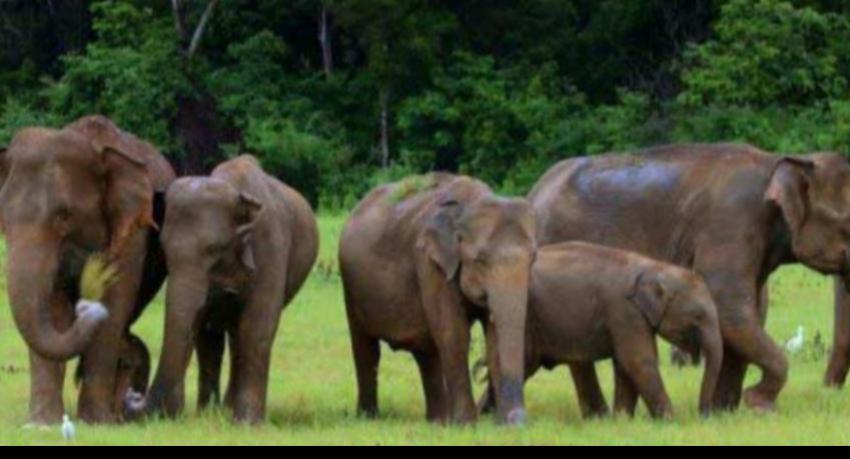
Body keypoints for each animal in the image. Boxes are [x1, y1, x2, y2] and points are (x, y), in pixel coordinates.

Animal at [0, 115, 175, 424]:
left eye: (64, 216)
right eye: (3, 218)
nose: (84, 306)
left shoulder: (133, 231)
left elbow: (115, 304)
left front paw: (95, 422)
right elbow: (53, 307)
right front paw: (41, 424)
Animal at [124, 155, 319, 424]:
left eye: (215, 249)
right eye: (163, 250)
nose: (133, 396)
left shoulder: (271, 252)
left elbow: (257, 328)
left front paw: (248, 424)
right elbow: (204, 330)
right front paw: (205, 417)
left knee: (240, 335)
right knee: (221, 339)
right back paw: (219, 411)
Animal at [339, 173, 537, 425]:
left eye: (533, 258)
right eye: (479, 260)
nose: (517, 419)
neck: (470, 202)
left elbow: (493, 337)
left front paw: (498, 425)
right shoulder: (429, 263)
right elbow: (454, 332)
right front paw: (466, 425)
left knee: (427, 353)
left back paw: (438, 422)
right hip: (352, 289)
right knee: (366, 348)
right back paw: (369, 418)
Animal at [479, 242, 723, 419]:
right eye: (698, 316)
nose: (704, 415)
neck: (653, 267)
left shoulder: (629, 317)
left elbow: (624, 365)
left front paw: (622, 420)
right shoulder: (624, 311)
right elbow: (638, 361)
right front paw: (670, 421)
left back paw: (487, 418)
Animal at [528, 143, 850, 412]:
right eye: (847, 225)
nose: (828, 391)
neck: (782, 160)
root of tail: (534, 192)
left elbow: (751, 311)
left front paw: (726, 413)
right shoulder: (730, 223)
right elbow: (730, 308)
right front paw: (758, 405)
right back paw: (599, 417)